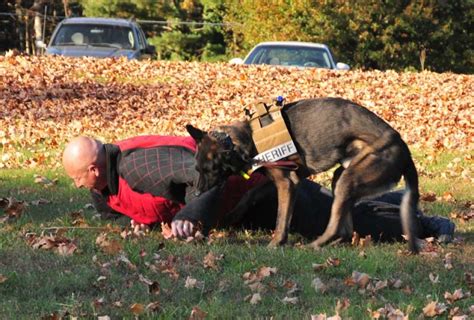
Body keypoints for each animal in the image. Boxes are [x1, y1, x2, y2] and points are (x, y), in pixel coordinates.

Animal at [187, 97, 420, 252]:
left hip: (352, 177)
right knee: (345, 231)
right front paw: (231, 216)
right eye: (197, 169)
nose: (196, 193)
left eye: (208, 170)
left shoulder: (286, 183)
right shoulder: (280, 179)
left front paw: (276, 242)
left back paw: (313, 245)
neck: (242, 140)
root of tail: (405, 151)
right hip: (342, 178)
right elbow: (250, 195)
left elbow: (281, 218)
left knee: (335, 227)